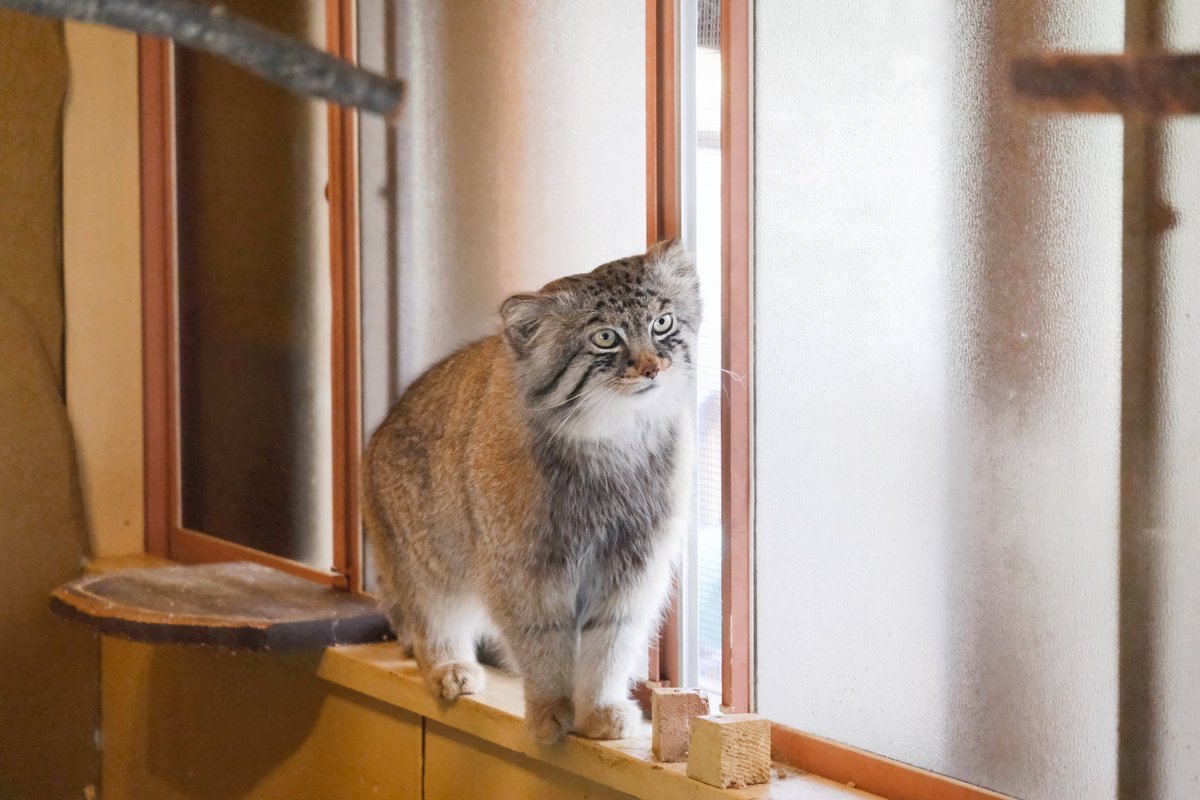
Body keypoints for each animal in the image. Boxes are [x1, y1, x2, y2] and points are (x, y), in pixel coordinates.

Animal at [367, 239, 700, 743]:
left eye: (663, 323)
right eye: (606, 338)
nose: (652, 367)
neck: (613, 443)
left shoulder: (631, 566)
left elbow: (610, 643)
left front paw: (598, 709)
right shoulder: (524, 570)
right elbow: (542, 644)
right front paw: (549, 709)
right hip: (426, 560)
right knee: (431, 620)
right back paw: (449, 665)